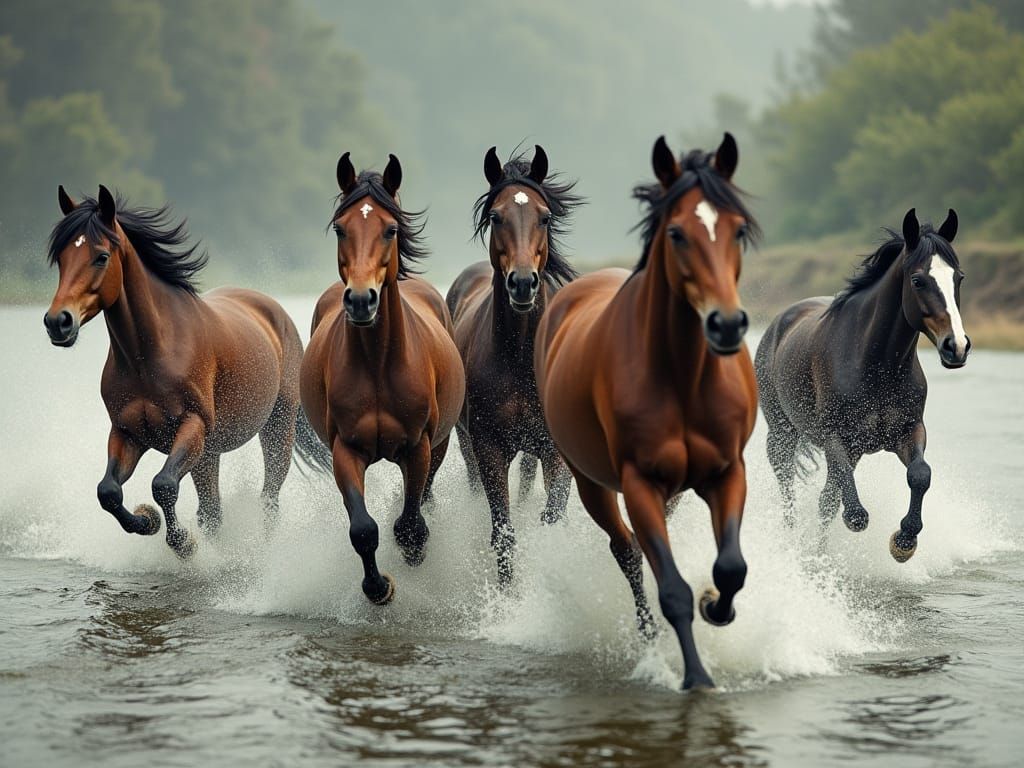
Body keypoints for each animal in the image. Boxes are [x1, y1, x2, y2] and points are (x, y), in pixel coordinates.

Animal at [44, 186, 330, 558]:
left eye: (101, 256)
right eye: (61, 258)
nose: (57, 322)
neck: (149, 356)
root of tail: (274, 312)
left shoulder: (191, 426)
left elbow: (163, 485)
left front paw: (182, 543)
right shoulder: (127, 433)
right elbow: (108, 491)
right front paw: (146, 521)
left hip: (276, 428)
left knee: (268, 500)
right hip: (210, 454)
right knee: (212, 511)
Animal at [300, 153, 465, 605]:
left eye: (390, 229)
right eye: (341, 228)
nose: (361, 300)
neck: (377, 364)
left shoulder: (418, 446)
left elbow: (409, 525)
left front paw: (412, 555)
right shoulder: (346, 449)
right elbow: (362, 529)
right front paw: (378, 588)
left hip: (441, 443)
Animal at [445, 145, 583, 587]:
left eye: (545, 216)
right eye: (496, 216)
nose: (522, 283)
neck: (521, 358)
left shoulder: (555, 451)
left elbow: (552, 516)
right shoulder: (489, 448)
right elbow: (503, 533)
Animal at [534, 134, 760, 690]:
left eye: (738, 229)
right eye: (676, 233)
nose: (726, 325)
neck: (682, 378)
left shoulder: (728, 472)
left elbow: (731, 569)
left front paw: (716, 606)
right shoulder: (640, 483)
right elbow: (670, 588)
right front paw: (696, 675)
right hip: (590, 483)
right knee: (628, 551)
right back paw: (645, 634)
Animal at [755, 208, 968, 562]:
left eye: (958, 278)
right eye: (918, 280)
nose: (957, 347)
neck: (877, 365)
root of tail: (778, 324)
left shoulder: (909, 431)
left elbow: (920, 474)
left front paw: (904, 541)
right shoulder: (835, 436)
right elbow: (852, 512)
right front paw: (863, 522)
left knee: (826, 500)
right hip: (782, 434)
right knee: (789, 492)